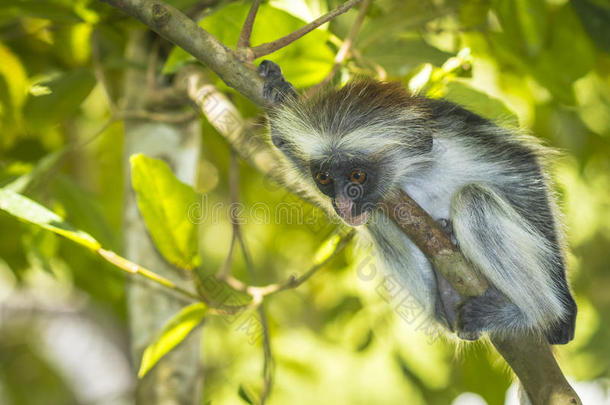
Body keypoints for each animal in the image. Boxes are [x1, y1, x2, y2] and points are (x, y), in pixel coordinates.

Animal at [255, 60, 576, 344]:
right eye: (323, 178)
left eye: (357, 176)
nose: (343, 206)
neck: (412, 172)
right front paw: (279, 95)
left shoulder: (457, 142)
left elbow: (523, 168)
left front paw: (566, 307)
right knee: (381, 221)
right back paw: (445, 299)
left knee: (473, 199)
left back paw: (537, 313)